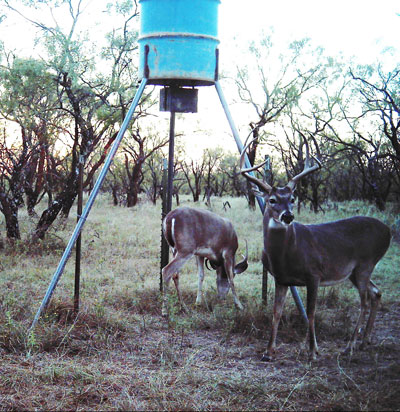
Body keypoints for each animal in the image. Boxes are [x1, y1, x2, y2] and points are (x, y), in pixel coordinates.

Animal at [241, 138, 390, 360]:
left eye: (292, 199)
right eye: (272, 200)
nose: (288, 216)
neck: (286, 254)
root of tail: (388, 230)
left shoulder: (314, 274)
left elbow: (311, 312)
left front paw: (312, 351)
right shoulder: (281, 279)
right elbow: (276, 312)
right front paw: (269, 351)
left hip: (366, 263)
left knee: (363, 302)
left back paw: (350, 346)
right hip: (353, 271)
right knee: (376, 293)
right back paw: (365, 342)